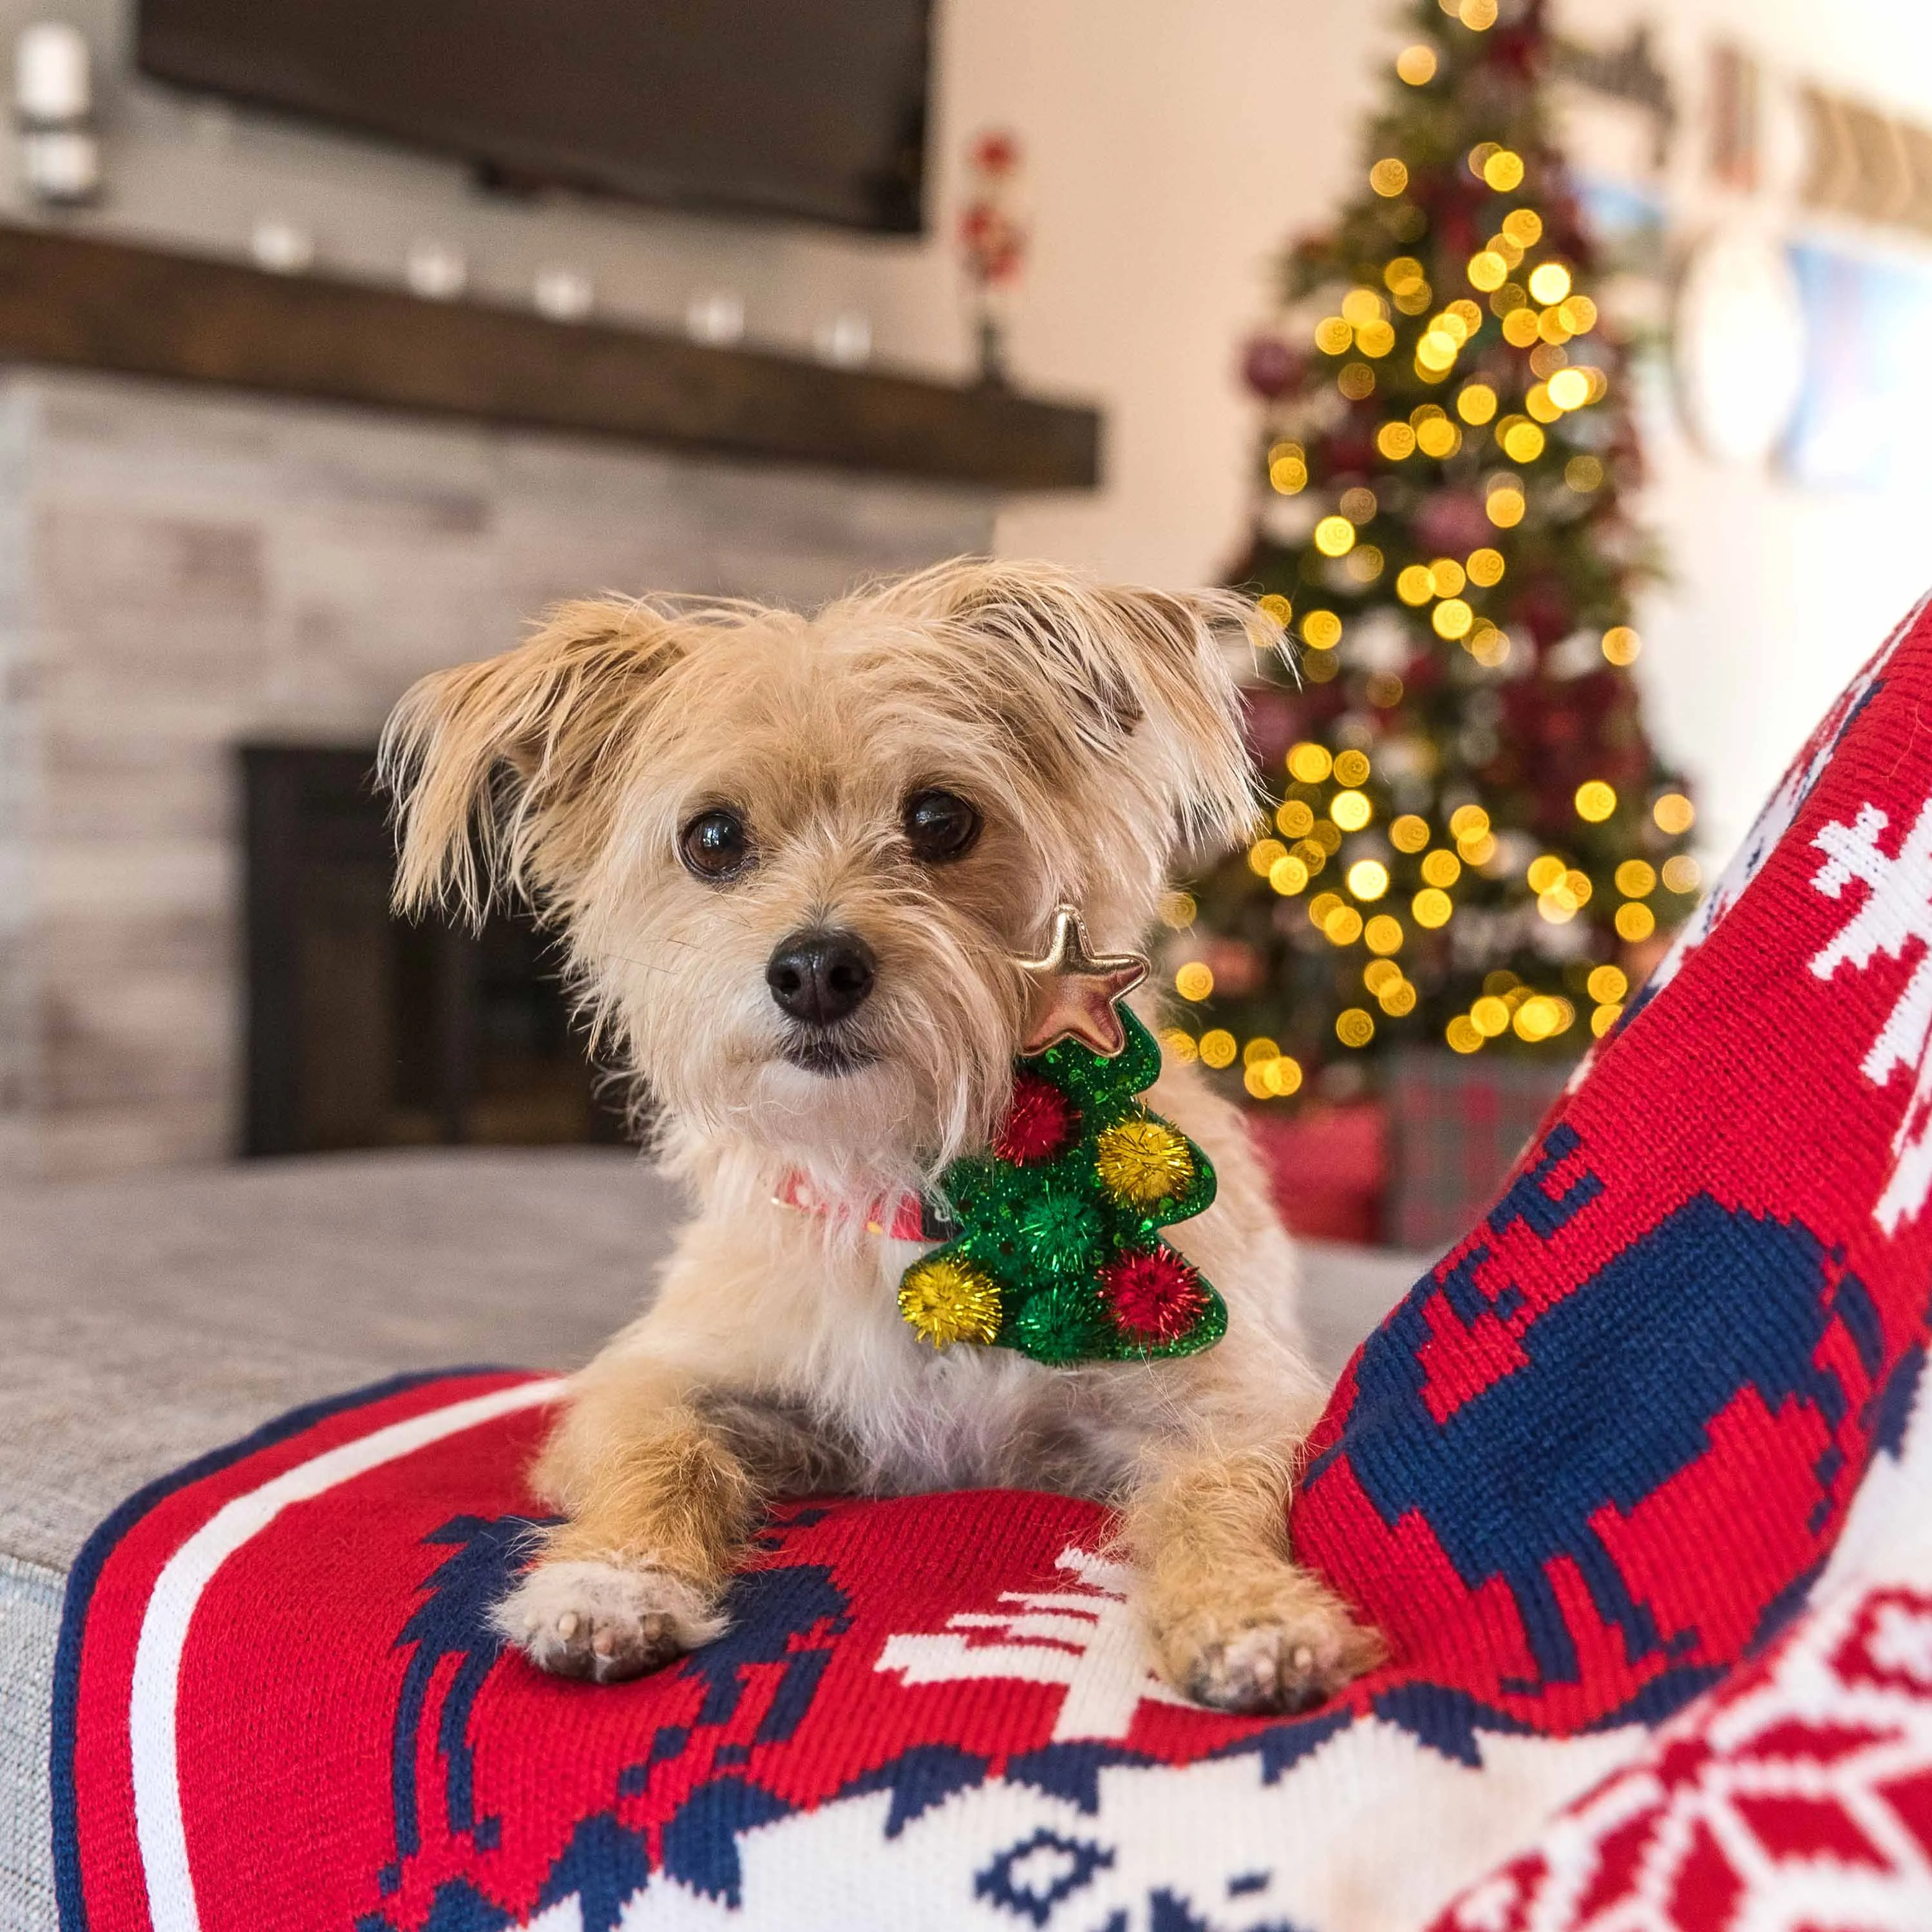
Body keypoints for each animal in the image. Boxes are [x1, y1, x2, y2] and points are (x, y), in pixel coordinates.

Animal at [381, 564, 1376, 1723]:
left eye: (940, 818)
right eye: (712, 839)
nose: (814, 969)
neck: (908, 1177)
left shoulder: (1223, 1399)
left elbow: (1211, 1498)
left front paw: (1247, 1611)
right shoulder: (662, 1377)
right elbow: (660, 1459)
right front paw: (608, 1581)